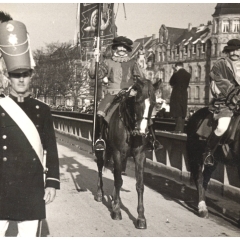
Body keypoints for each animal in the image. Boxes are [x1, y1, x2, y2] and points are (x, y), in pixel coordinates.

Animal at [94, 77, 160, 229]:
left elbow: (139, 185)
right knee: (100, 167)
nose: (142, 131)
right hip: (103, 150)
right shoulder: (118, 153)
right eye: (138, 101)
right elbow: (118, 181)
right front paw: (117, 211)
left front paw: (141, 218)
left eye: (153, 103)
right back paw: (100, 193)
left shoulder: (140, 156)